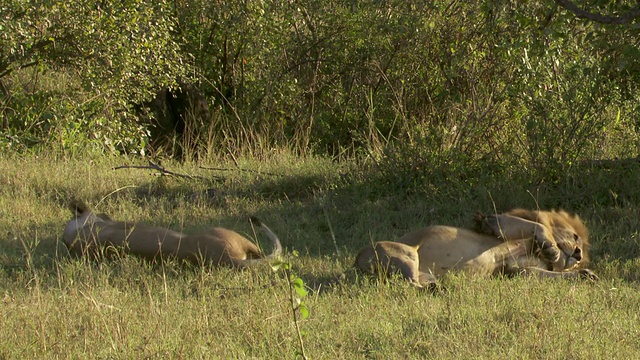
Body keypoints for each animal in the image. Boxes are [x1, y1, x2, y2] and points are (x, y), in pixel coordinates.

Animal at [352, 208, 596, 286]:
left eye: (581, 255)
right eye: (575, 237)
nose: (577, 254)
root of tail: (355, 264)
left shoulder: (513, 270)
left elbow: (542, 274)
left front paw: (585, 274)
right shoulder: (499, 221)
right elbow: (539, 225)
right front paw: (552, 249)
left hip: (421, 270)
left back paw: (437, 288)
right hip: (406, 254)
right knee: (408, 284)